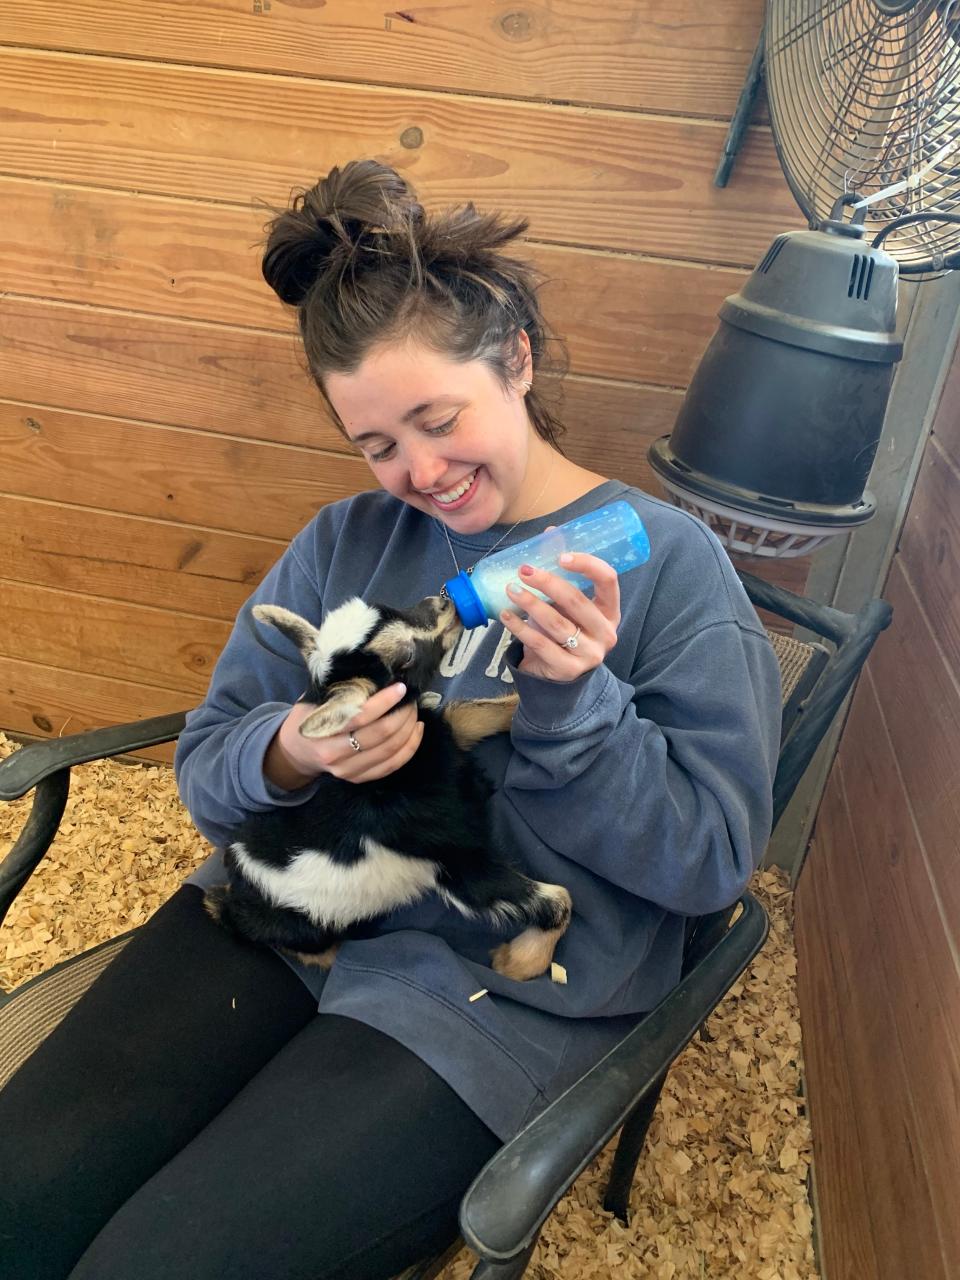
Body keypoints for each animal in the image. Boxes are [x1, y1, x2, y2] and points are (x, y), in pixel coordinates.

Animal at [203, 596, 576, 977]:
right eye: (404, 657)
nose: (443, 603)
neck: (391, 779)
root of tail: (236, 887)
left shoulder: (439, 734)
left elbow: (470, 715)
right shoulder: (456, 862)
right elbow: (558, 898)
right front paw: (518, 963)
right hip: (297, 924)